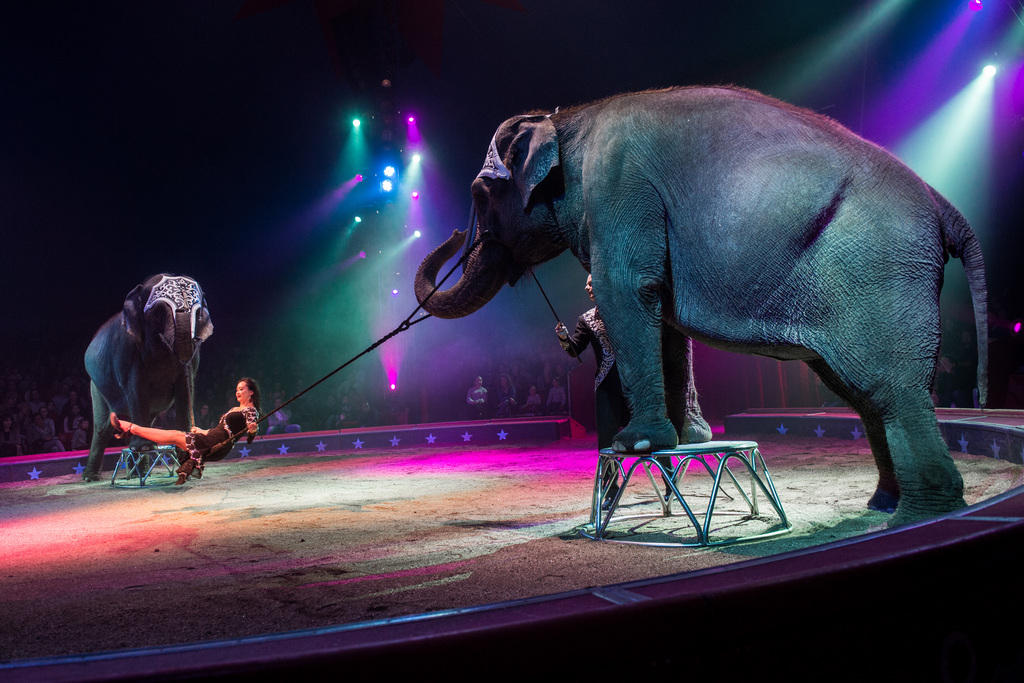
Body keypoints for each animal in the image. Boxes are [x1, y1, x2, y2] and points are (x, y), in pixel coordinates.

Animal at [82, 274, 214, 481]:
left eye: (198, 312)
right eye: (159, 311)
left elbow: (186, 385)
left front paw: (188, 445)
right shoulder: (127, 350)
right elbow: (135, 387)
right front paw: (144, 447)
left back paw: (139, 473)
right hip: (96, 386)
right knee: (103, 427)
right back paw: (91, 477)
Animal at [415, 85, 983, 524]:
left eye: (479, 194)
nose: (454, 233)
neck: (565, 119)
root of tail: (944, 206)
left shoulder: (617, 189)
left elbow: (629, 292)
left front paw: (635, 445)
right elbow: (664, 318)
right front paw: (689, 439)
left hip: (882, 268)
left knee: (891, 387)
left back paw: (920, 516)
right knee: (861, 394)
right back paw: (883, 503)